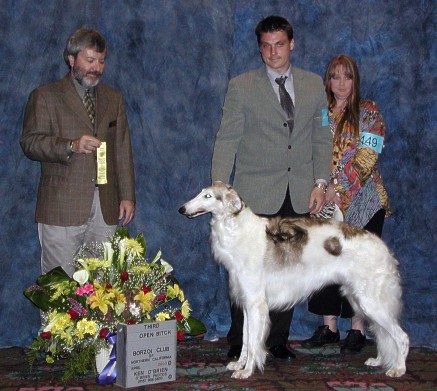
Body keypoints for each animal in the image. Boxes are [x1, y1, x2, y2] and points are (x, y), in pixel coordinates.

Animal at [178, 183, 408, 380]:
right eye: (201, 193)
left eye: (208, 196)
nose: (182, 209)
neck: (237, 229)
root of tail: (382, 246)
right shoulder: (246, 303)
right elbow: (245, 340)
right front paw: (239, 364)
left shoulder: (255, 303)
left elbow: (252, 343)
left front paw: (247, 371)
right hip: (362, 301)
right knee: (384, 335)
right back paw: (378, 360)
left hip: (371, 302)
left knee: (401, 336)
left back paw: (399, 369)